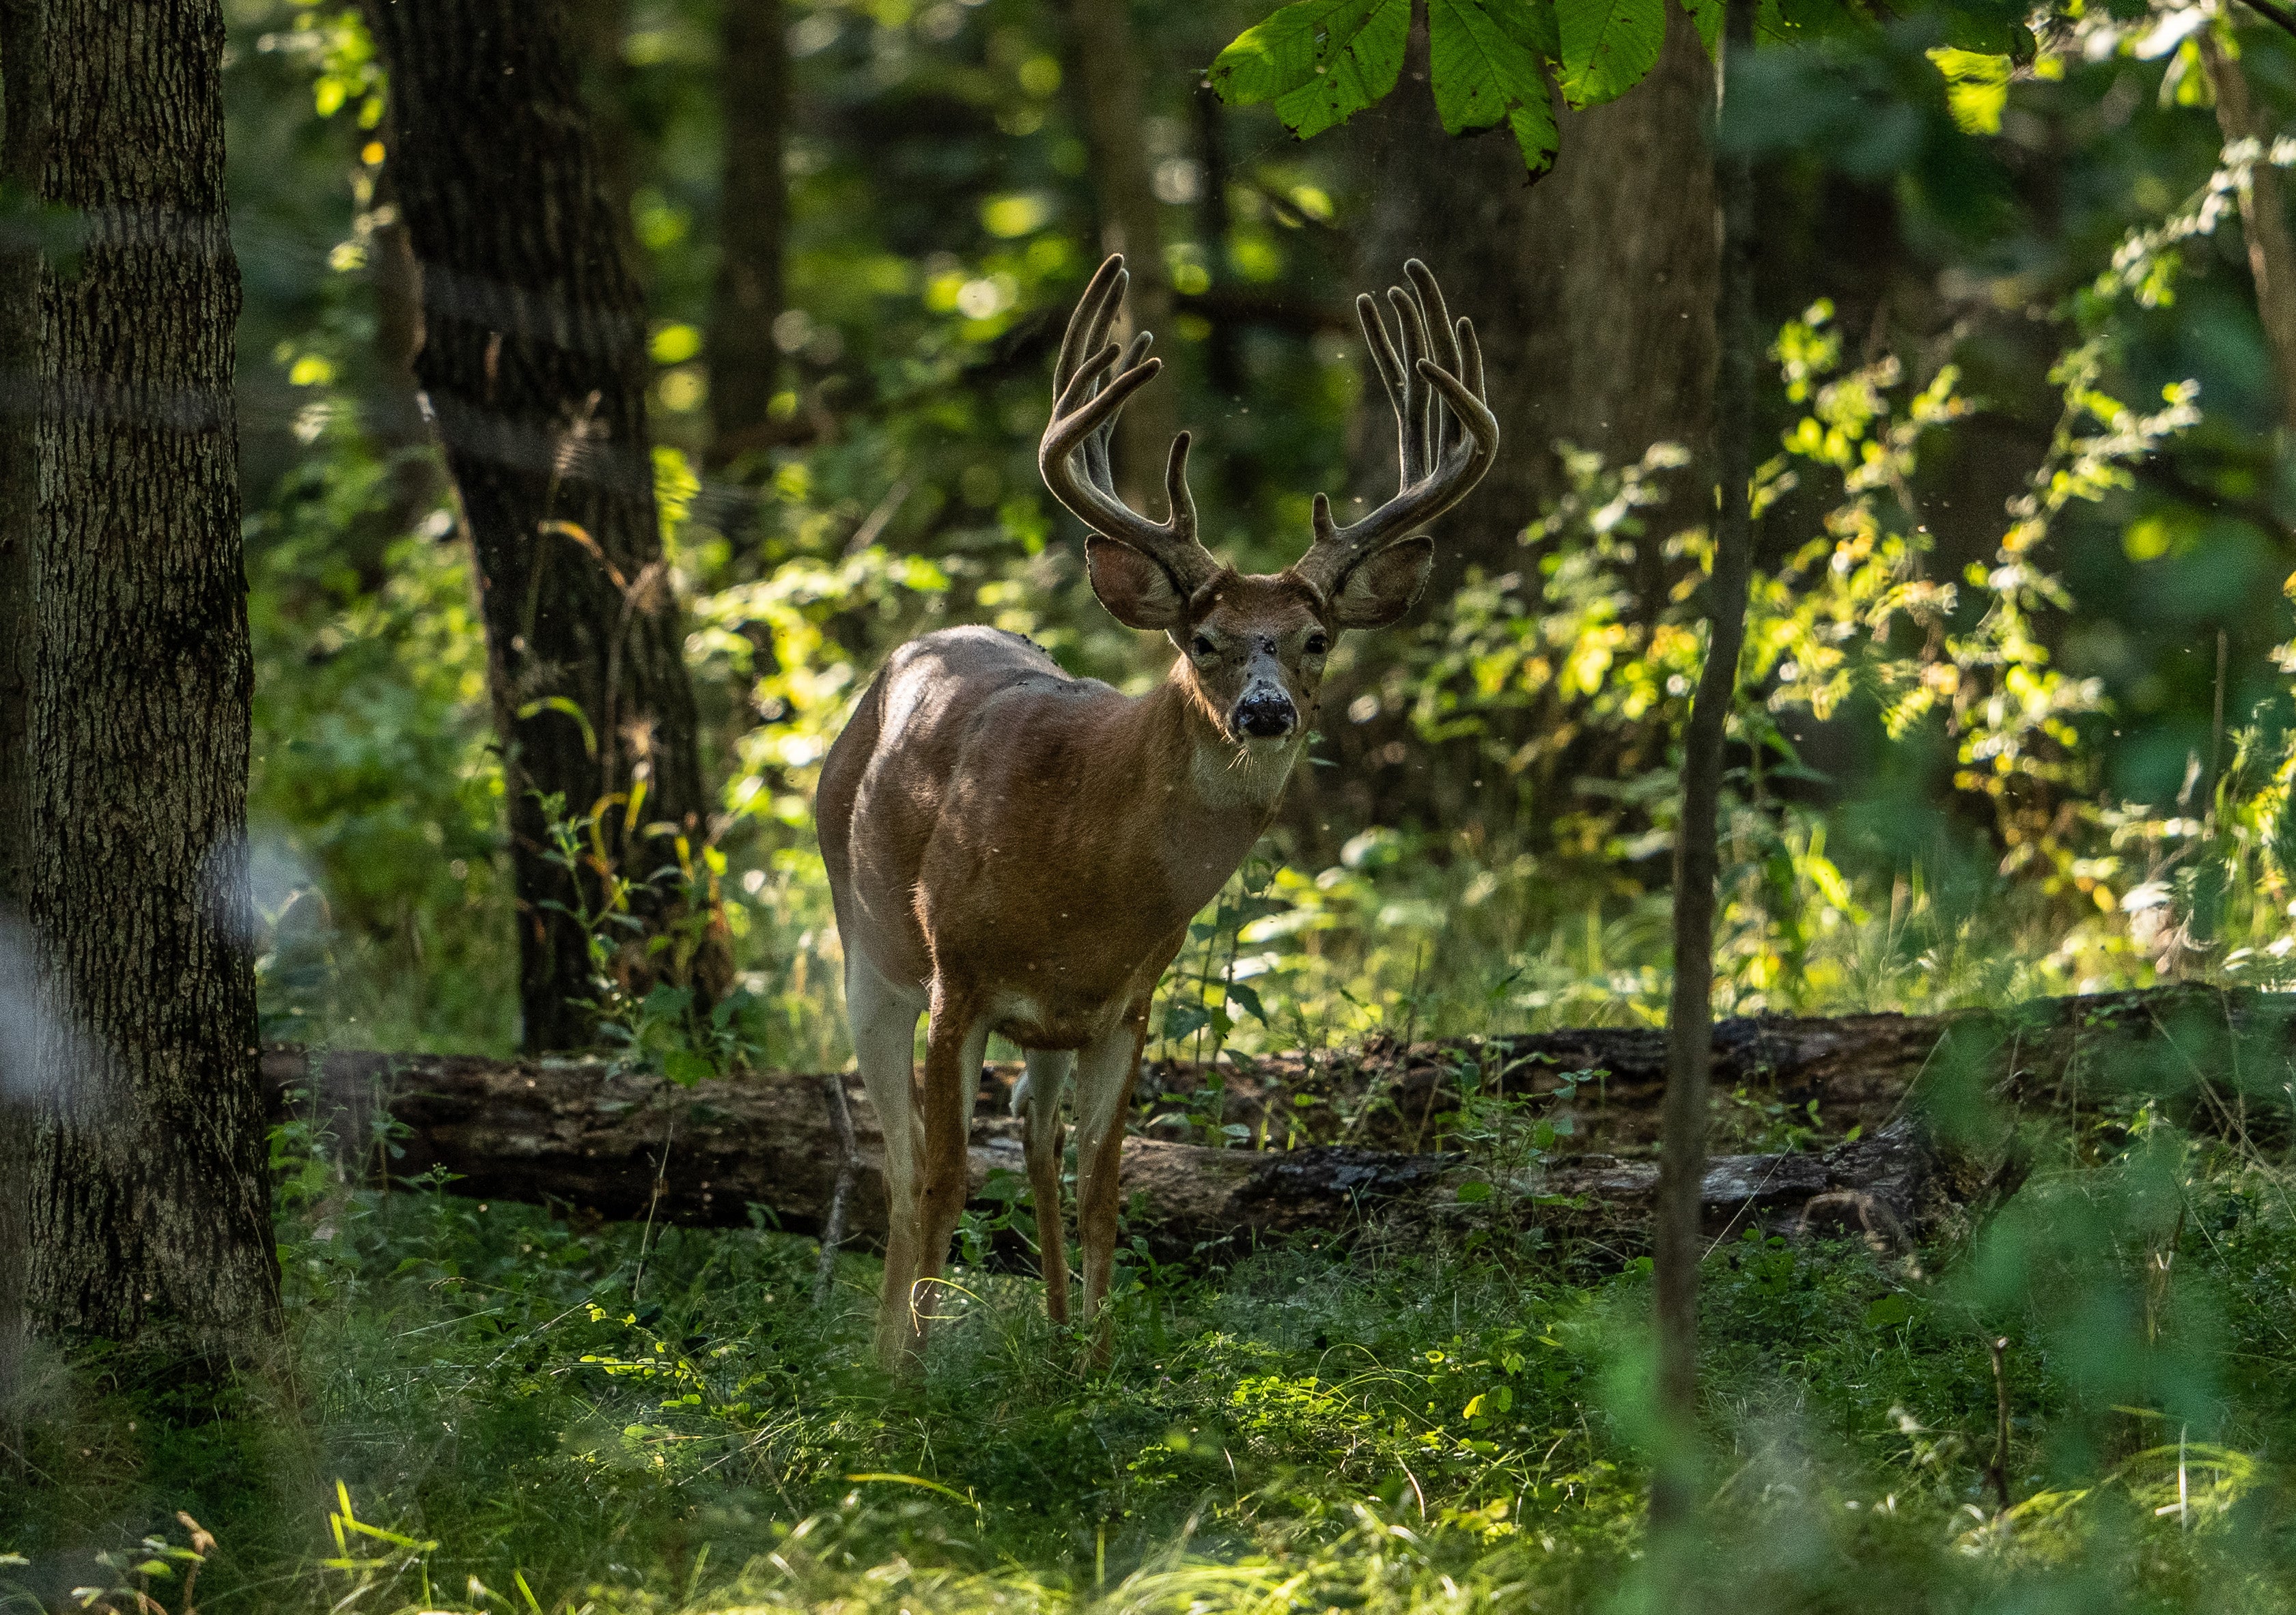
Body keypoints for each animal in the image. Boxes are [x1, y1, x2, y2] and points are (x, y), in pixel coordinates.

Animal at [816, 253, 1498, 1369]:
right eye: (1203, 638)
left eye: (1314, 639)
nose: (1264, 712)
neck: (1076, 862)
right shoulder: (959, 978)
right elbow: (943, 1177)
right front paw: (907, 1381)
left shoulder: (1124, 1002)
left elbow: (1104, 1185)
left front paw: (1097, 1366)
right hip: (867, 953)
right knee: (902, 1159)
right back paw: (886, 1352)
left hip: (1041, 1030)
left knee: (1033, 1132)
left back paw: (1051, 1334)